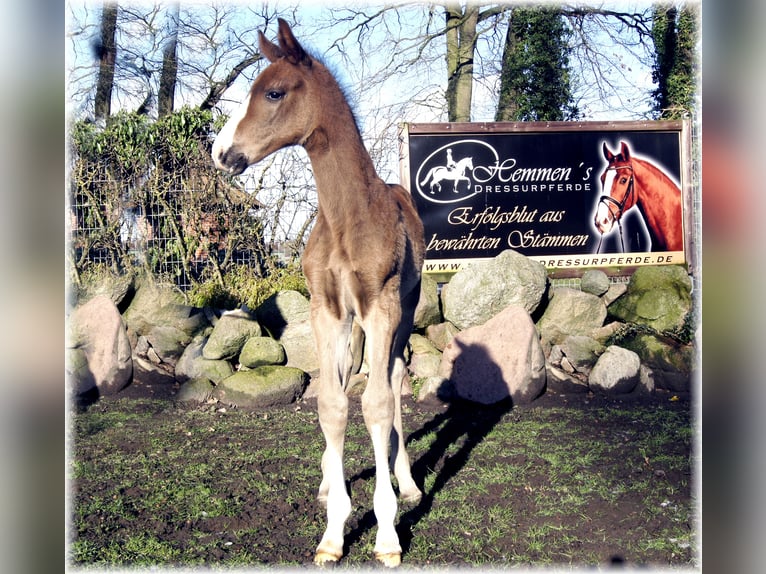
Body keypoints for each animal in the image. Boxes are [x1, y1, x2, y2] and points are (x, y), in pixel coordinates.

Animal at [212, 19, 426, 572]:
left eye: (273, 92)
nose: (220, 153)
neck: (348, 218)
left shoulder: (382, 308)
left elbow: (377, 403)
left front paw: (387, 533)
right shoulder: (326, 310)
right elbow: (331, 402)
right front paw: (333, 531)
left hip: (402, 315)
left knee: (394, 380)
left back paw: (408, 482)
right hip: (349, 324)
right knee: (348, 378)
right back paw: (331, 483)